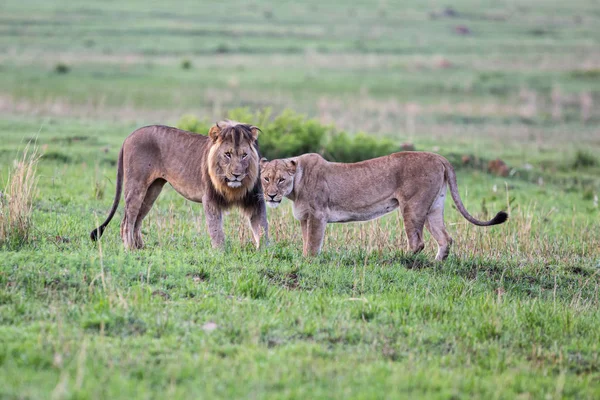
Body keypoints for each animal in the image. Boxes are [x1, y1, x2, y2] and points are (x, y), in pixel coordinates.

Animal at [90, 122, 268, 250]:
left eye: (244, 155)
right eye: (227, 154)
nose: (237, 174)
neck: (232, 186)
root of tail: (129, 136)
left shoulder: (255, 199)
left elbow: (262, 227)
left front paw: (266, 252)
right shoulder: (209, 199)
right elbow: (216, 229)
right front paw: (220, 253)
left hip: (152, 190)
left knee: (138, 219)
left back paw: (140, 247)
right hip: (136, 186)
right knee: (127, 220)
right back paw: (130, 249)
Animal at [260, 152, 508, 260]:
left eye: (281, 180)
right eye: (266, 178)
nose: (271, 196)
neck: (296, 186)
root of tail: (439, 157)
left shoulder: (318, 215)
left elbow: (312, 244)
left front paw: (309, 262)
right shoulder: (305, 218)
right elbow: (305, 242)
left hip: (413, 206)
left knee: (417, 242)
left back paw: (402, 261)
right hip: (434, 207)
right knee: (445, 239)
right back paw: (436, 265)